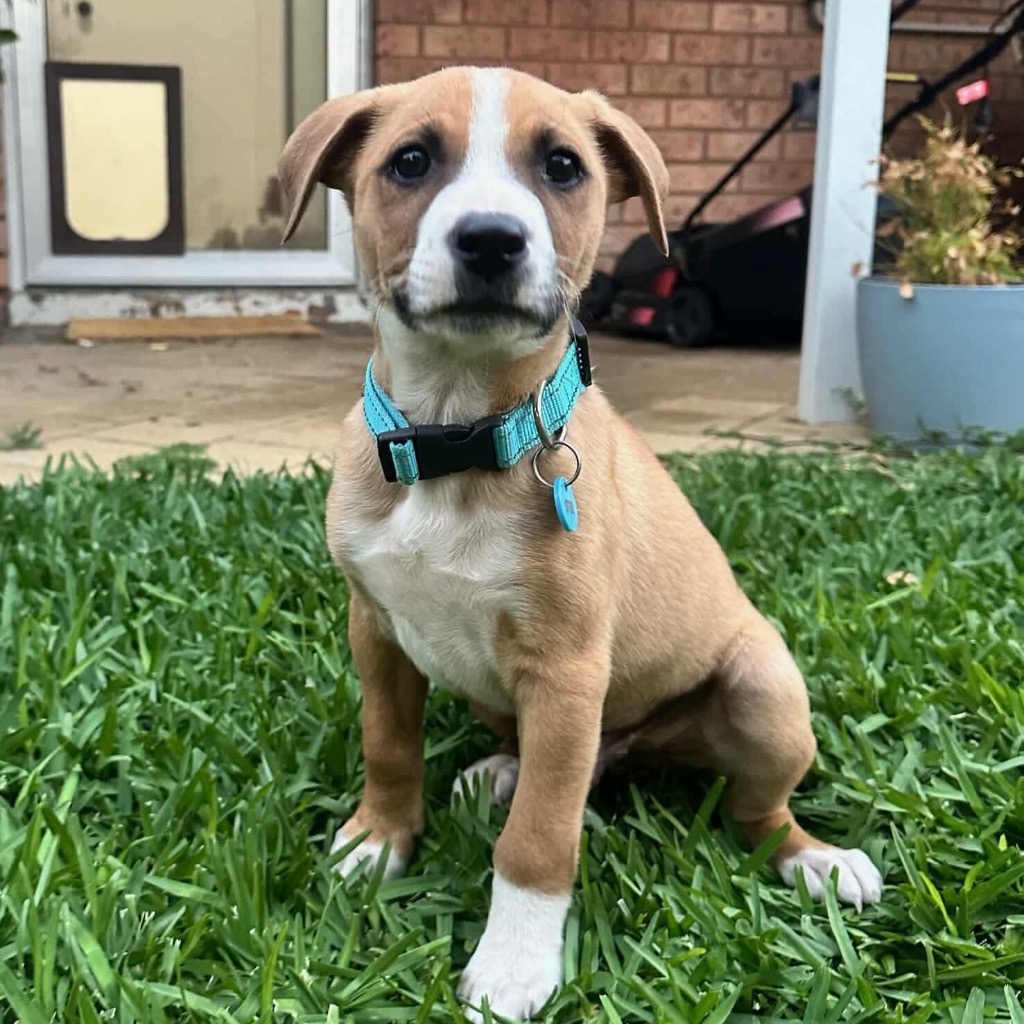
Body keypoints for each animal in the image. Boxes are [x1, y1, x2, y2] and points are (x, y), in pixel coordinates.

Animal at [279, 66, 883, 1022]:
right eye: (410, 161)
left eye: (562, 167)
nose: (492, 240)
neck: (457, 432)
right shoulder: (376, 632)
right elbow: (388, 744)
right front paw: (377, 841)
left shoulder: (564, 672)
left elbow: (538, 840)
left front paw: (514, 965)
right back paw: (500, 770)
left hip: (762, 693)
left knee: (755, 813)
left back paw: (818, 861)